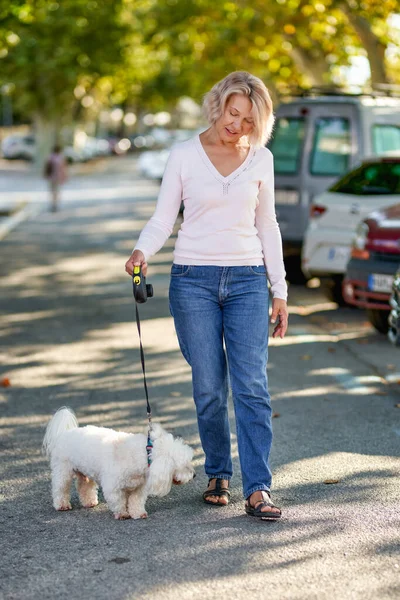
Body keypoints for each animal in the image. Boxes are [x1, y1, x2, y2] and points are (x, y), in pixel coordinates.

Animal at [42, 408, 195, 520]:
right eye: (185, 465)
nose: (194, 475)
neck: (143, 454)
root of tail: (65, 433)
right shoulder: (113, 487)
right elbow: (118, 500)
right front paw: (122, 514)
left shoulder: (139, 487)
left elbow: (136, 500)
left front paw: (138, 513)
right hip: (63, 470)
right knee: (60, 488)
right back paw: (62, 505)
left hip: (84, 471)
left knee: (84, 486)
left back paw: (89, 501)